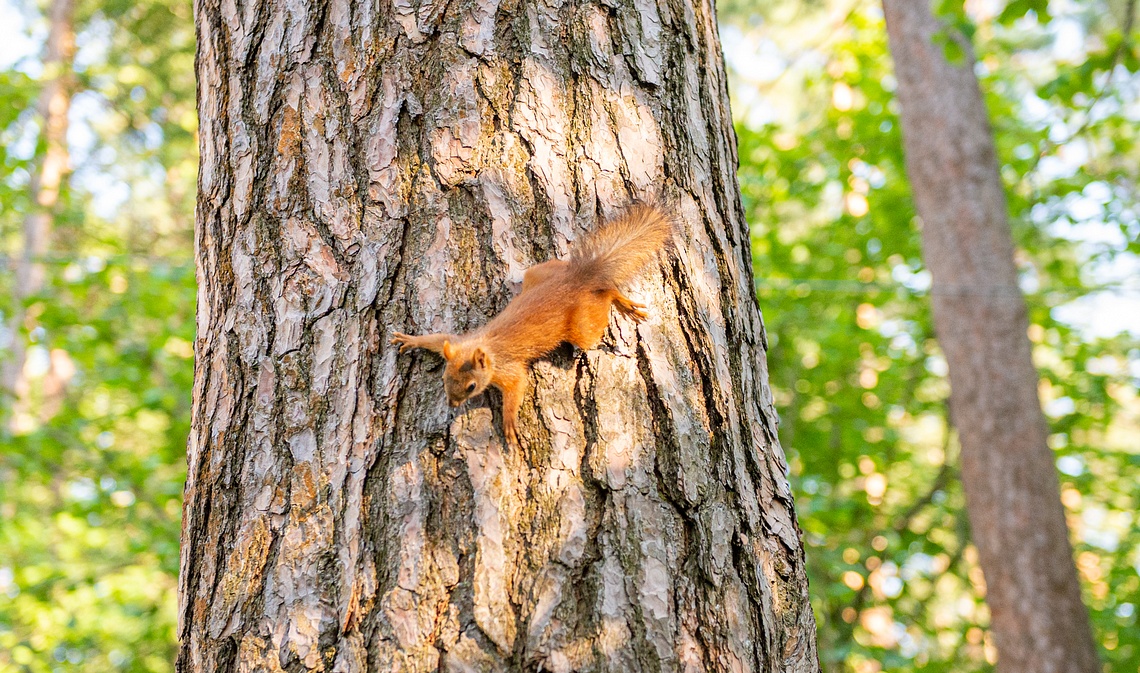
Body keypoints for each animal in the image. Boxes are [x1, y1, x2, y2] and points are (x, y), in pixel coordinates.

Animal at [394, 205, 670, 449]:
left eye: (471, 387)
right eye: (444, 377)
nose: (452, 405)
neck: (483, 350)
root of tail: (579, 278)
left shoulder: (508, 370)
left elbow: (516, 388)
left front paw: (509, 424)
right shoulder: (458, 342)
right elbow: (437, 339)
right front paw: (411, 340)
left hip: (582, 327)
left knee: (606, 296)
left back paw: (620, 300)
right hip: (539, 273)